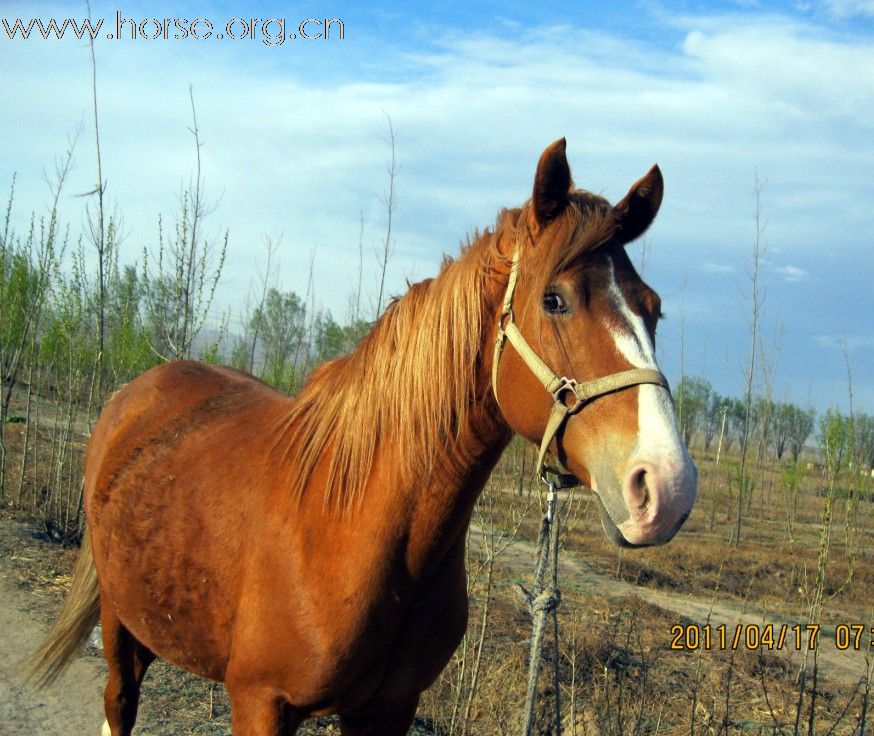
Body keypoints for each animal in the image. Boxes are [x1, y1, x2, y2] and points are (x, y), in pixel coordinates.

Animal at [30, 137, 696, 732]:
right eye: (554, 300)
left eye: (653, 308)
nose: (667, 487)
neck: (352, 522)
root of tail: (136, 392)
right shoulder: (260, 702)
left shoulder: (388, 710)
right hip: (120, 623)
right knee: (120, 705)